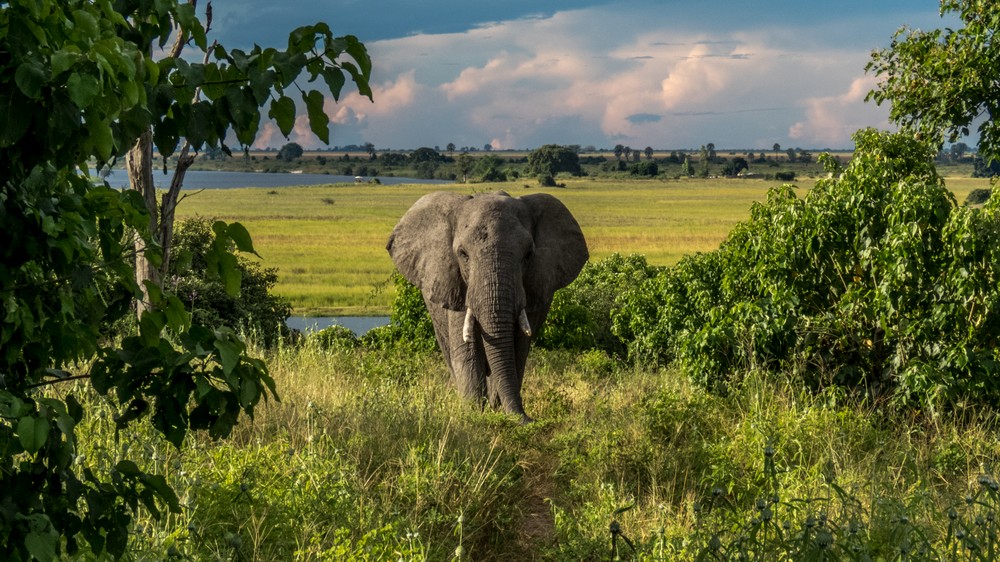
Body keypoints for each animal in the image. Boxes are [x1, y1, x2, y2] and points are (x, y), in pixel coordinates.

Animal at [382, 191, 584, 420]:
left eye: (528, 255)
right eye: (463, 254)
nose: (529, 419)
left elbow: (516, 351)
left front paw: (498, 412)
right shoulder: (458, 285)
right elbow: (467, 352)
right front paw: (474, 414)